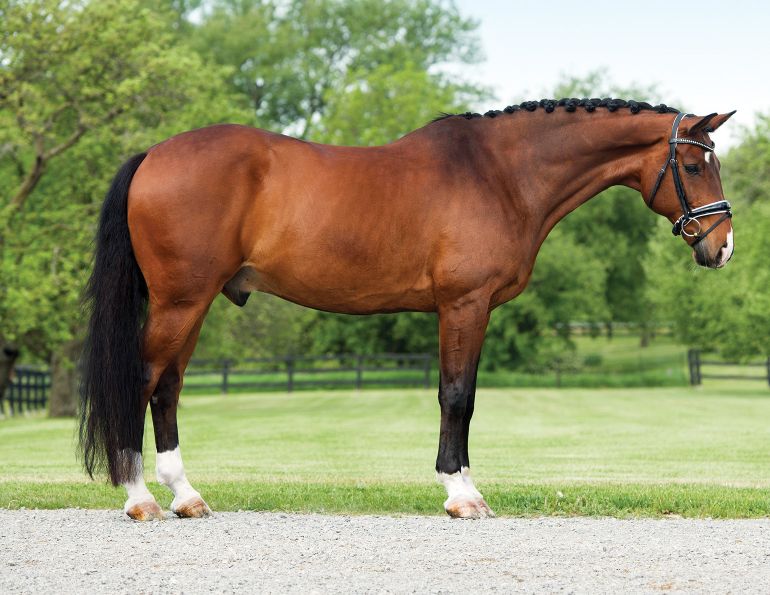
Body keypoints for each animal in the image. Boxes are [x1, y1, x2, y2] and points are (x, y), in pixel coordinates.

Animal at [79, 98, 735, 520]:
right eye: (693, 165)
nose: (721, 246)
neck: (500, 174)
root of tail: (153, 155)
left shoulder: (473, 309)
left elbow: (464, 395)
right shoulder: (464, 305)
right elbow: (456, 395)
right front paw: (462, 494)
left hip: (192, 305)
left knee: (167, 388)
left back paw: (187, 497)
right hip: (180, 301)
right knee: (143, 380)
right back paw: (140, 499)